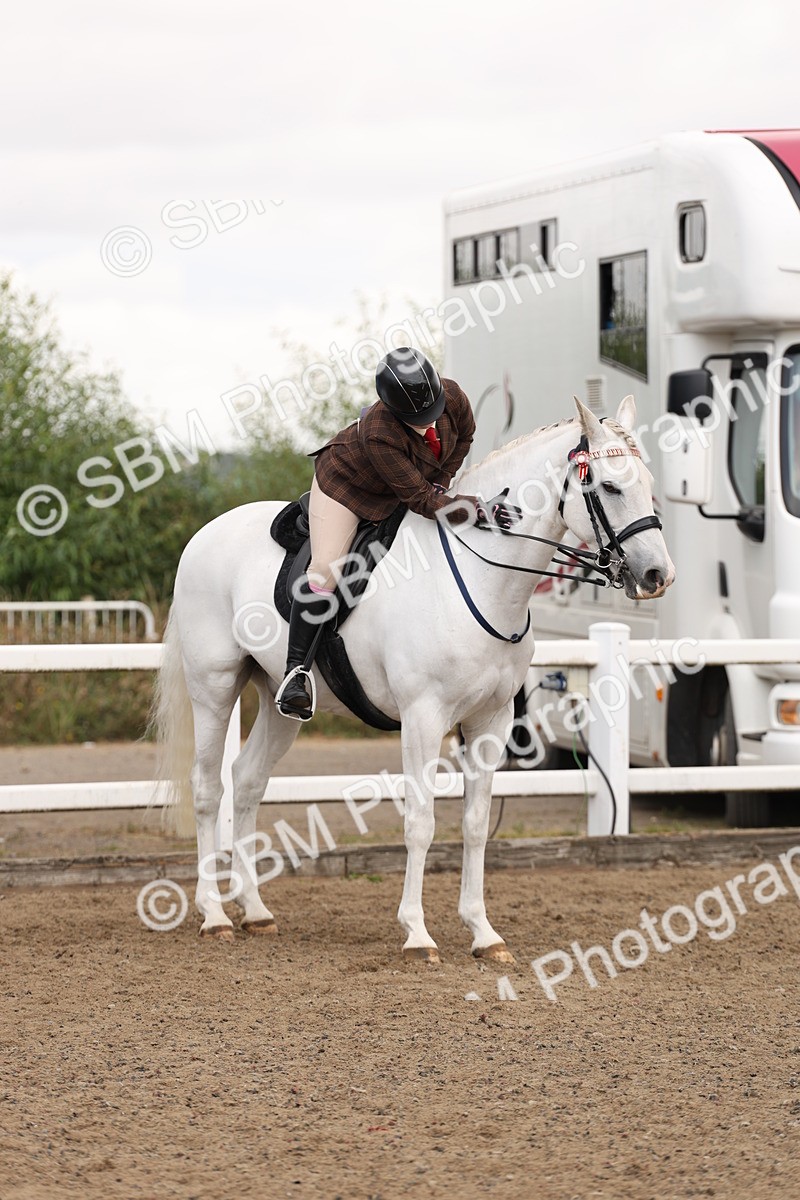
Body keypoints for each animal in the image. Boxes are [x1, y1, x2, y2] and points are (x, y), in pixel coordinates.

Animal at [152, 395, 674, 961]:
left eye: (649, 481)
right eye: (609, 487)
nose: (658, 576)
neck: (483, 578)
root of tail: (203, 536)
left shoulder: (491, 721)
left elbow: (475, 825)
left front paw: (483, 933)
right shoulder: (424, 718)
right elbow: (421, 823)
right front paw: (418, 935)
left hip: (278, 701)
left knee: (247, 782)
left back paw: (255, 911)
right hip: (215, 686)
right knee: (208, 788)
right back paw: (214, 915)